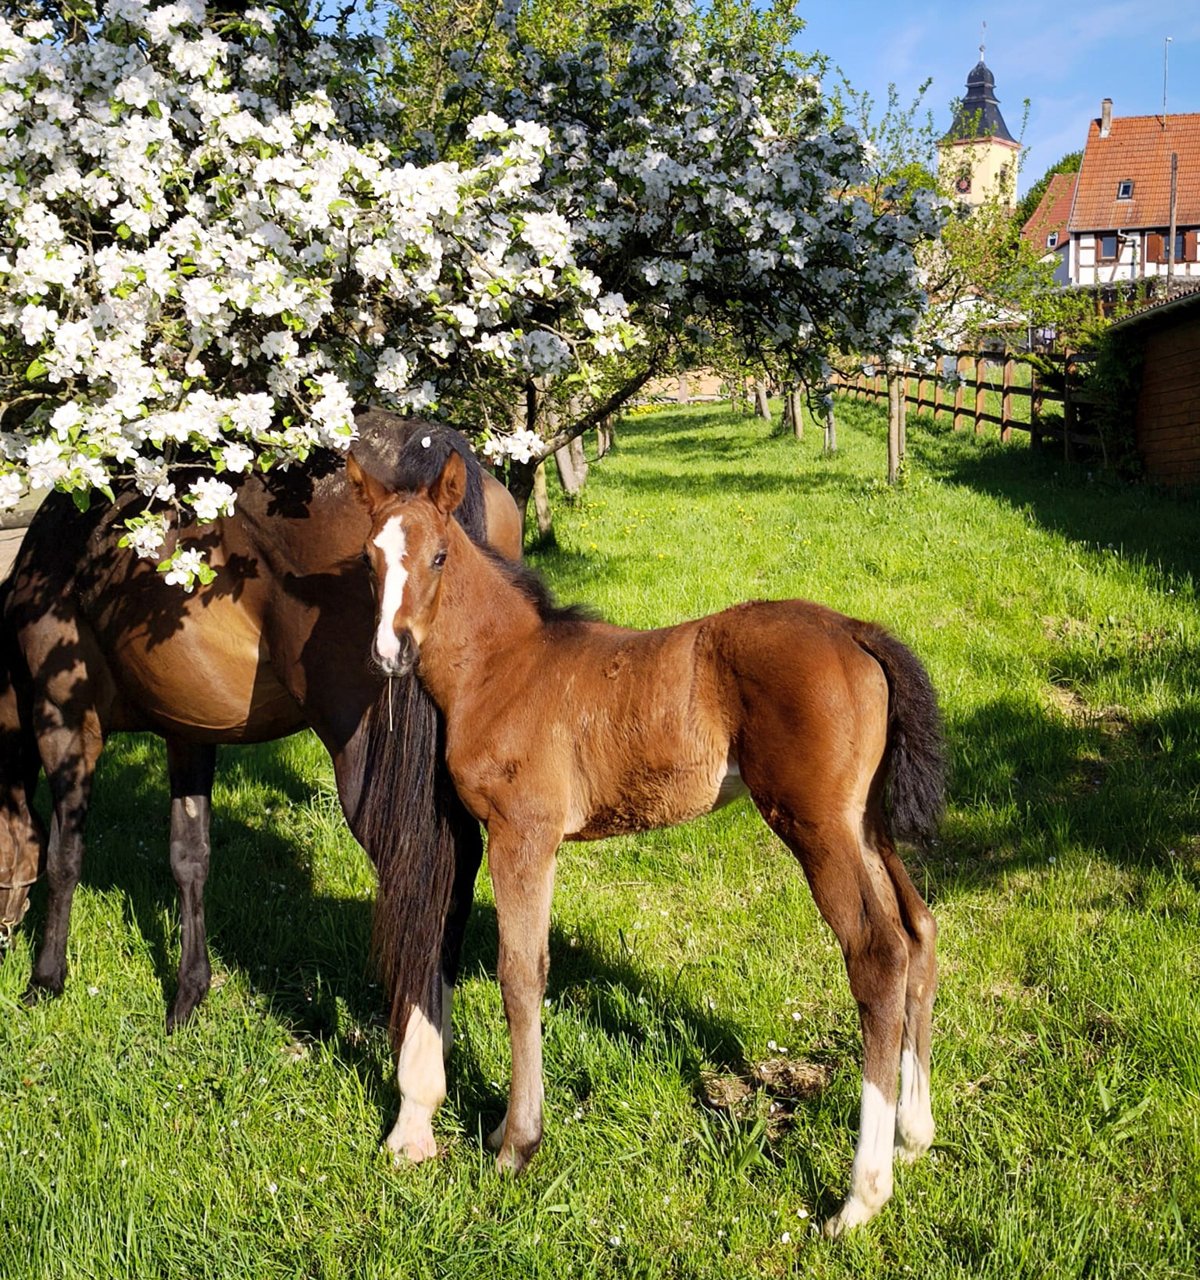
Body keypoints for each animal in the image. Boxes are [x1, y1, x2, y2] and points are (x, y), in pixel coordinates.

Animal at [0, 411, 522, 1163]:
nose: (2, 937)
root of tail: (424, 450)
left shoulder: (65, 717)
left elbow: (63, 853)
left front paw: (46, 980)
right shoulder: (187, 730)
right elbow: (189, 859)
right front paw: (188, 998)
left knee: (430, 867)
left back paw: (414, 1106)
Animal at [346, 447, 945, 1235]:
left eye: (440, 555)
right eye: (369, 559)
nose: (390, 651)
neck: (503, 668)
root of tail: (853, 629)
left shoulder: (523, 832)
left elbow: (520, 973)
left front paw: (515, 1144)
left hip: (816, 825)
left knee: (877, 954)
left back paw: (859, 1198)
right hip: (865, 821)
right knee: (918, 930)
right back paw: (914, 1135)